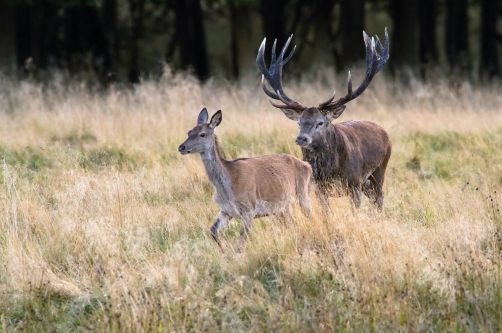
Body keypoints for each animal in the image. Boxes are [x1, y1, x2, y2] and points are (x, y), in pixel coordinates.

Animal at [176, 107, 310, 248]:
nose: (181, 147)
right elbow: (213, 230)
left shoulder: (249, 209)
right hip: (282, 208)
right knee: (293, 224)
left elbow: (241, 243)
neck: (228, 188)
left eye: (202, 134)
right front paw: (224, 250)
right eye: (189, 132)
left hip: (303, 194)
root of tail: (307, 165)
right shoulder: (226, 210)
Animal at [255, 29, 392, 210]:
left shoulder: (355, 182)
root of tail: (385, 132)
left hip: (379, 169)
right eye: (299, 123)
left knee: (379, 198)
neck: (329, 170)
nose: (301, 138)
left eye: (320, 123)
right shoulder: (319, 187)